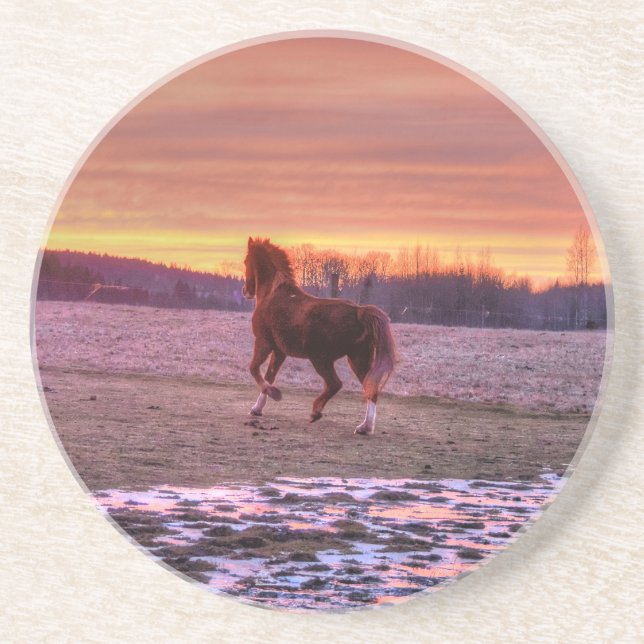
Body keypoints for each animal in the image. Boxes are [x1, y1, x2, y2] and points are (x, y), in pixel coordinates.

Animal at [242, 237, 397, 435]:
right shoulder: (279, 351)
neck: (272, 294)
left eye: (246, 261)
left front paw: (274, 394)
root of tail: (359, 311)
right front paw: (257, 408)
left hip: (321, 359)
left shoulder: (263, 343)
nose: (245, 291)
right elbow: (269, 376)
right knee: (371, 388)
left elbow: (254, 369)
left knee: (335, 384)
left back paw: (316, 412)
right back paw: (364, 427)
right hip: (358, 359)